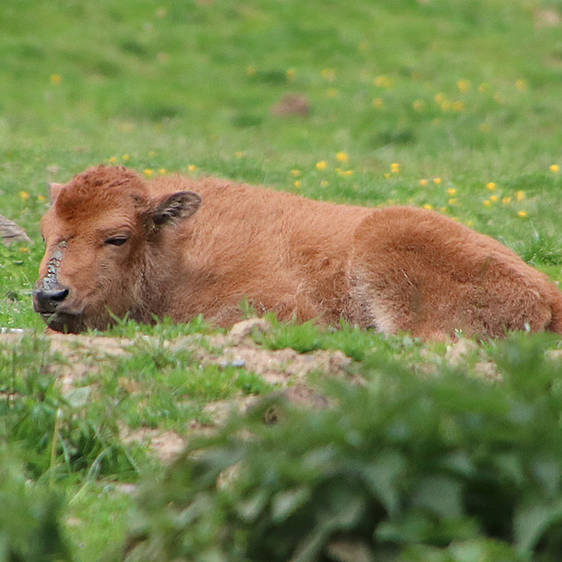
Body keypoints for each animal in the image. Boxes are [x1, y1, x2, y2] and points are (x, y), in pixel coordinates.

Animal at [32, 162, 556, 336]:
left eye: (117, 237)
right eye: (45, 231)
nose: (49, 295)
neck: (177, 250)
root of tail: (550, 296)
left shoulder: (283, 306)